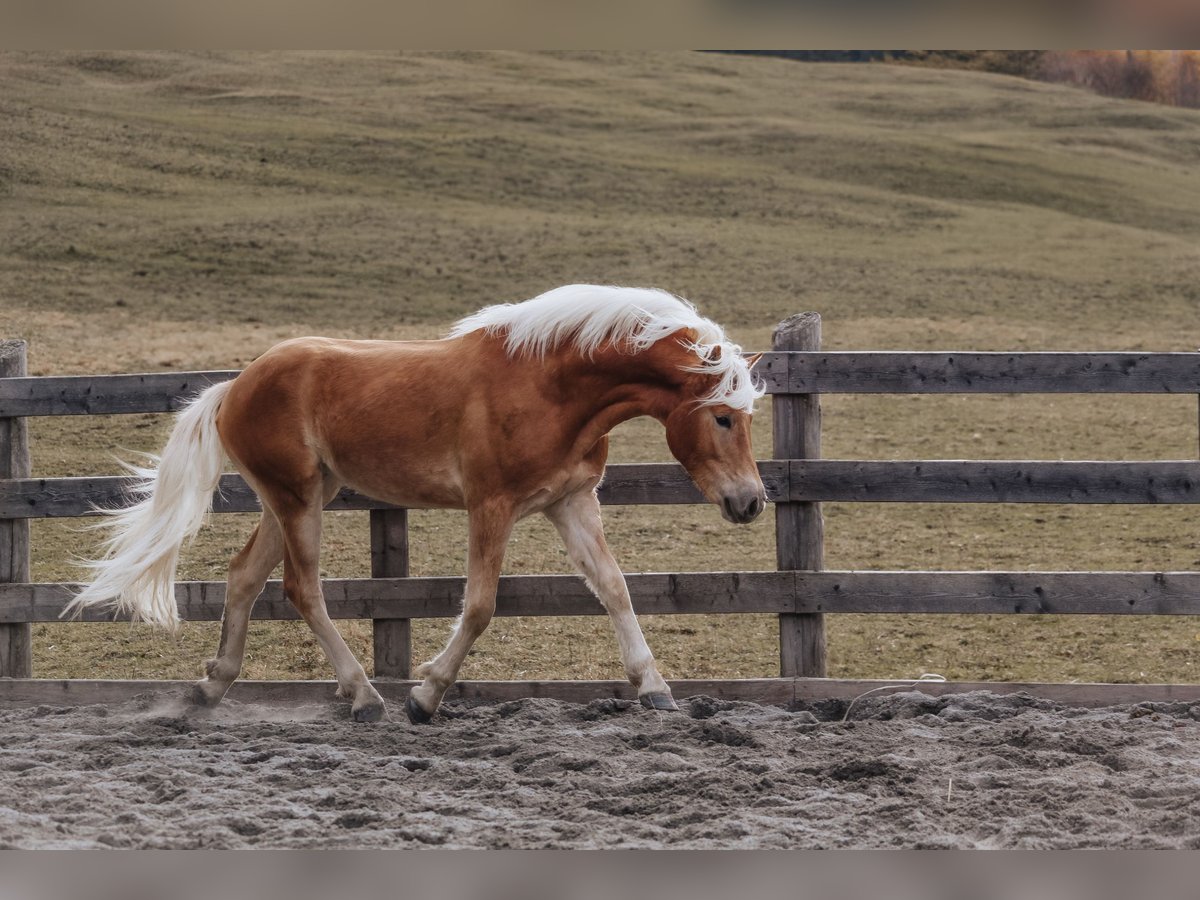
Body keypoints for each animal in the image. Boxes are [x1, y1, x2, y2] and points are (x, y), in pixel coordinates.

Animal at [65, 284, 768, 723]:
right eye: (724, 417)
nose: (751, 503)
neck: (550, 386)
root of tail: (235, 386)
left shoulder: (571, 503)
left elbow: (615, 588)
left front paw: (655, 689)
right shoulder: (491, 506)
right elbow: (480, 607)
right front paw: (425, 698)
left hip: (294, 497)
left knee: (243, 578)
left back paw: (211, 687)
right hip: (298, 501)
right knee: (301, 589)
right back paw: (365, 698)